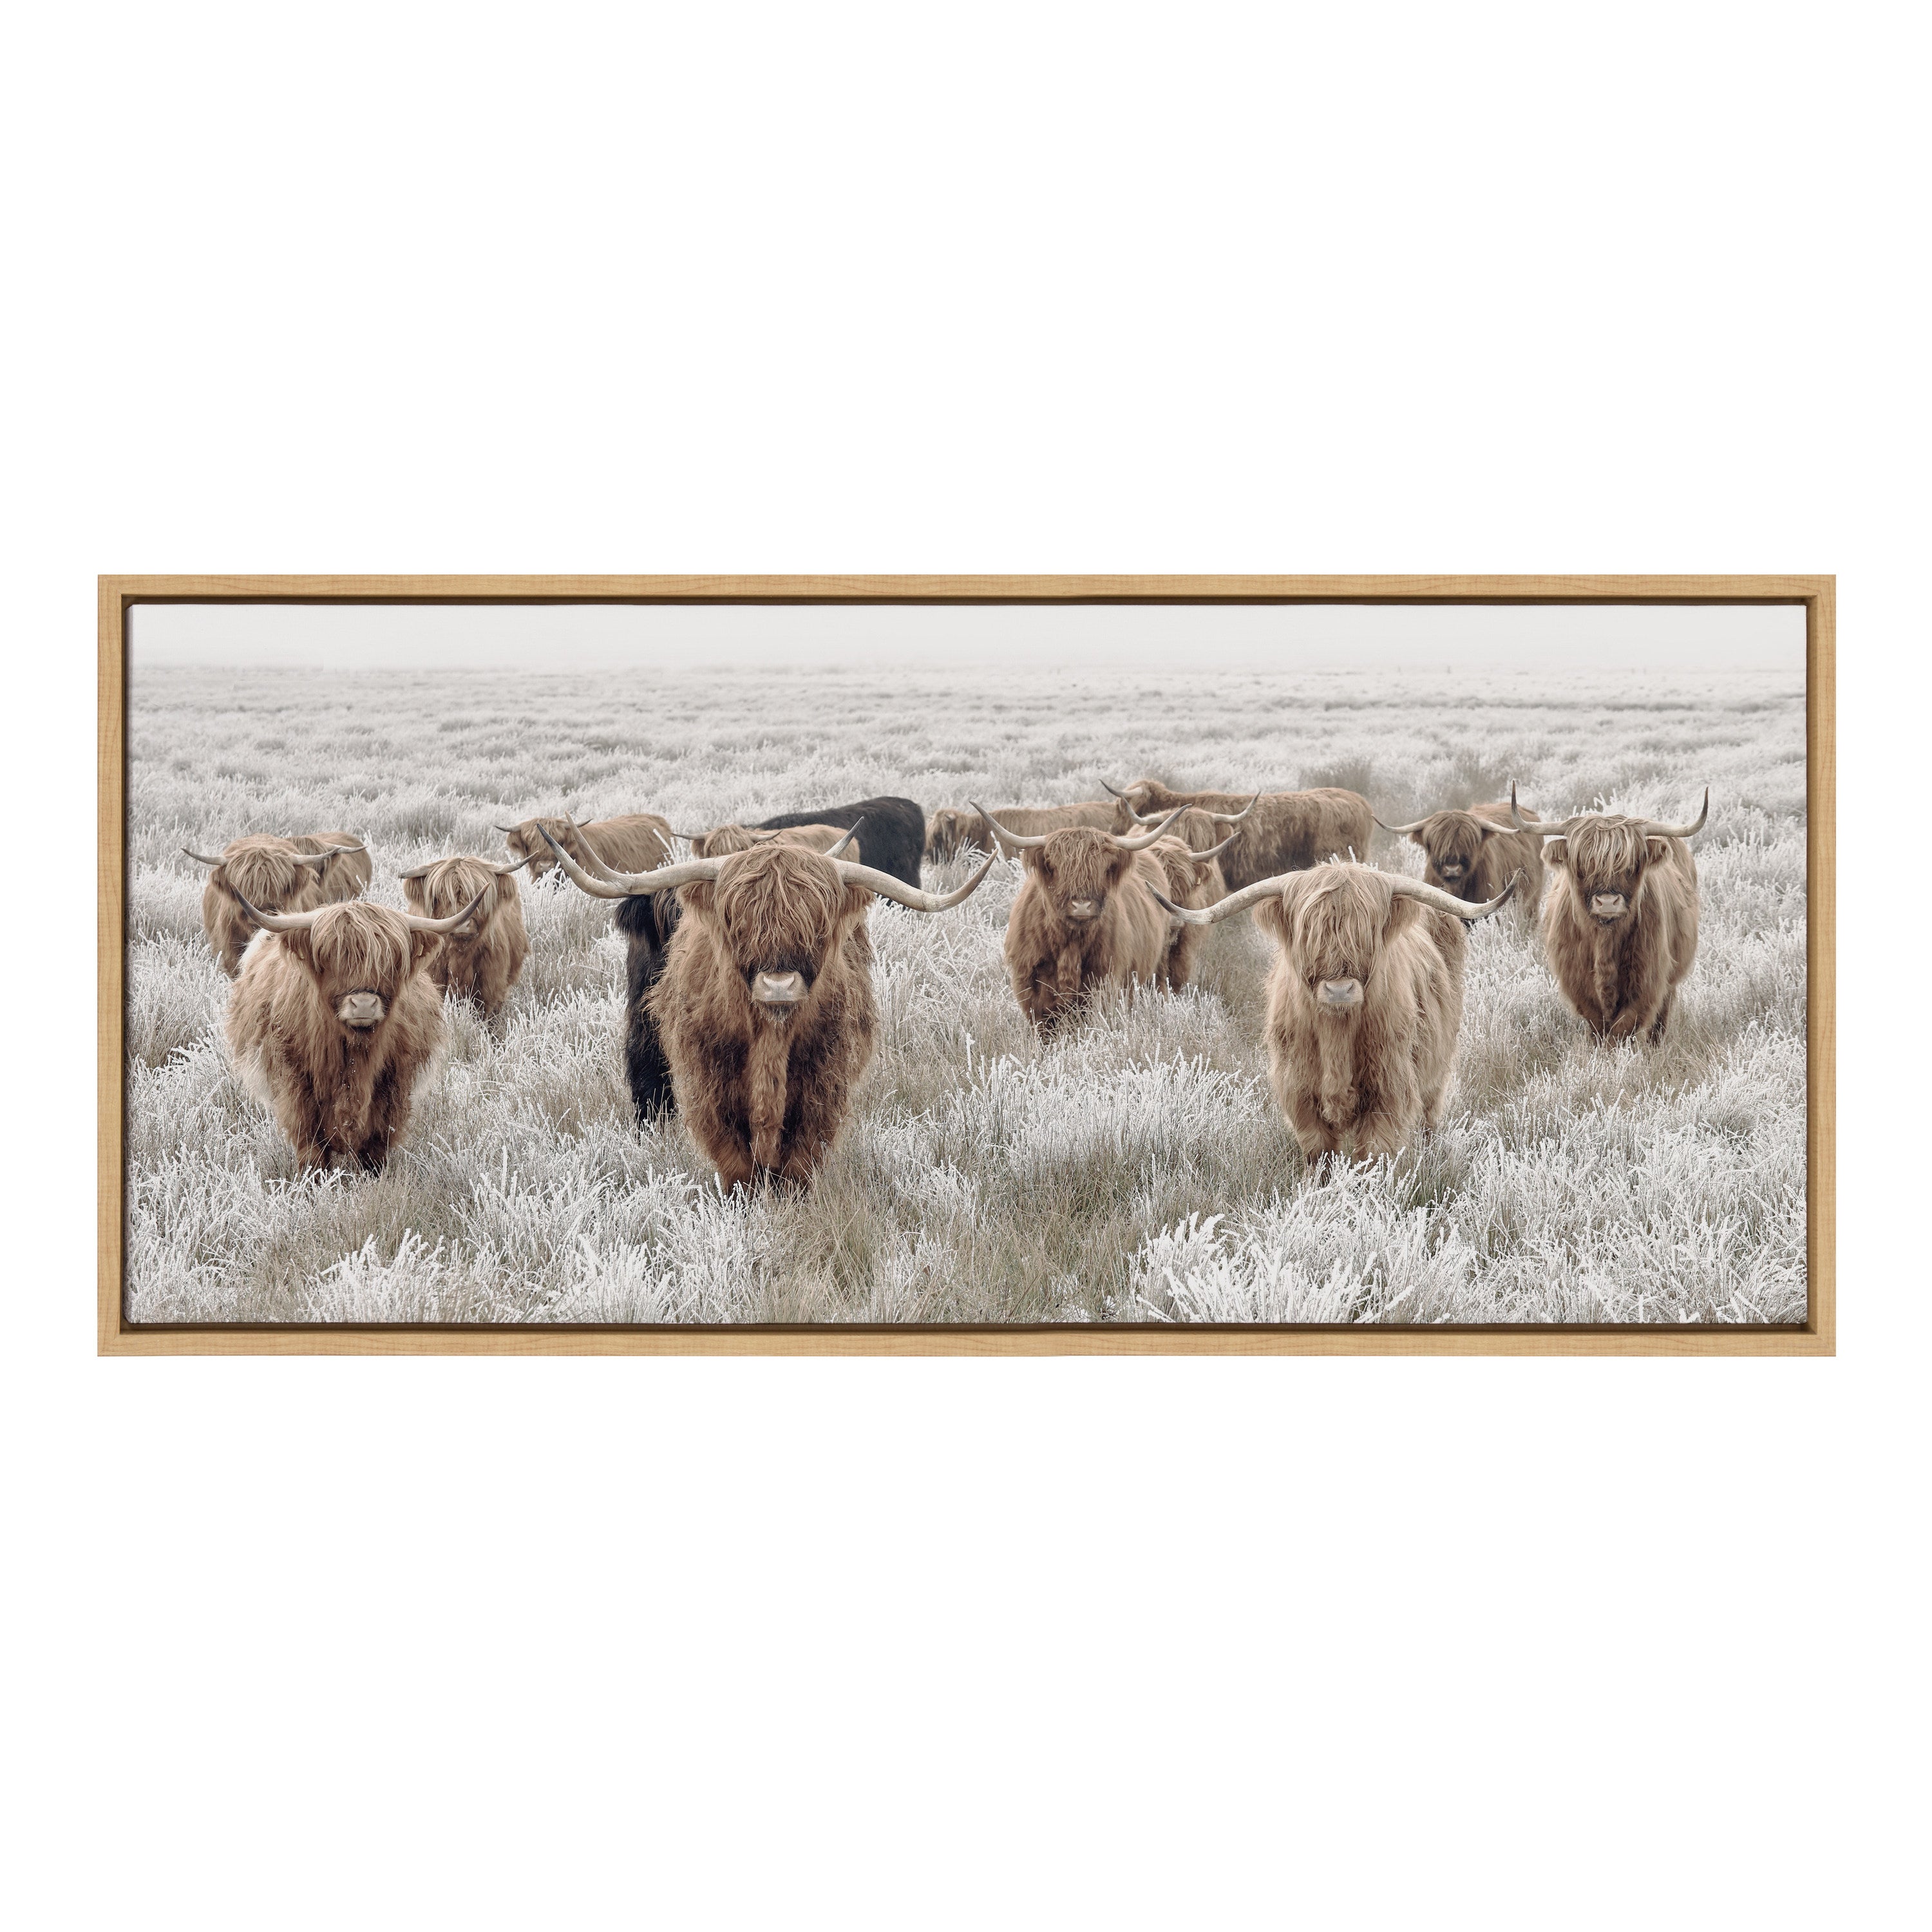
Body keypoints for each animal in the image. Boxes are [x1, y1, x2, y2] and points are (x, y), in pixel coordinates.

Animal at [222, 888, 485, 1171]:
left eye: (390, 961)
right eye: (331, 957)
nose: (364, 1004)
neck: (354, 1052)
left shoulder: (394, 1082)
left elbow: (378, 1140)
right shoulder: (296, 1081)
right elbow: (309, 1140)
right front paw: (314, 1177)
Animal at [541, 826, 994, 1189]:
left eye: (817, 925)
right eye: (736, 921)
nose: (779, 985)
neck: (770, 1038)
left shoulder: (823, 1083)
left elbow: (799, 1161)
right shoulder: (710, 1083)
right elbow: (736, 1160)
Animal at [972, 802, 1192, 1034]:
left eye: (1103, 868)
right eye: (1056, 866)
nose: (1082, 905)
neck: (1070, 944)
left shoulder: (1102, 982)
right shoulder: (1032, 988)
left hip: (1157, 965)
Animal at [1151, 861, 1516, 1163]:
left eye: (1367, 933)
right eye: (1309, 933)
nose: (1339, 990)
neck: (1337, 1035)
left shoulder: (1390, 1089)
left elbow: (1373, 1156)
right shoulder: (1299, 1092)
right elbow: (1320, 1154)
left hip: (1436, 1070)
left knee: (1429, 1116)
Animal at [1512, 785, 1708, 1043]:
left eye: (1631, 864)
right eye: (1582, 865)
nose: (1607, 902)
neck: (1604, 940)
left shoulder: (1647, 981)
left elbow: (1623, 1028)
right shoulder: (1579, 985)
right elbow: (1598, 1028)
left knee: (1660, 1020)